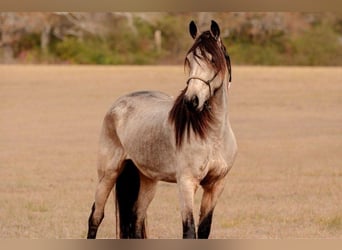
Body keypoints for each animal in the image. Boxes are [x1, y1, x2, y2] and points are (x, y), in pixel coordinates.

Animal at [87, 19, 236, 238]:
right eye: (189, 60)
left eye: (212, 59)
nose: (191, 101)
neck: (212, 136)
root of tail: (118, 104)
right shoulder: (186, 184)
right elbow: (189, 231)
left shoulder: (216, 185)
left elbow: (204, 230)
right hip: (108, 174)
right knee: (96, 216)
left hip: (147, 180)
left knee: (136, 219)